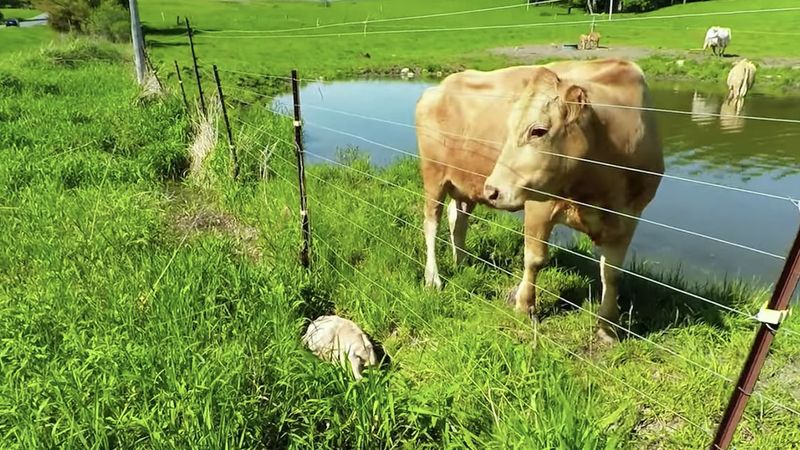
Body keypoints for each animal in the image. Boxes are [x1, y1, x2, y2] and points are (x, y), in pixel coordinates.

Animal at [416, 59, 664, 342]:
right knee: (431, 223)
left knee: (458, 220)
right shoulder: (538, 204)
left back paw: (462, 262)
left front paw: (607, 327)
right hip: (433, 175)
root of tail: (440, 86)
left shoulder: (628, 217)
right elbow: (534, 259)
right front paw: (525, 306)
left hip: (465, 185)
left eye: (538, 131)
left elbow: (611, 273)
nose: (493, 190)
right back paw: (433, 278)